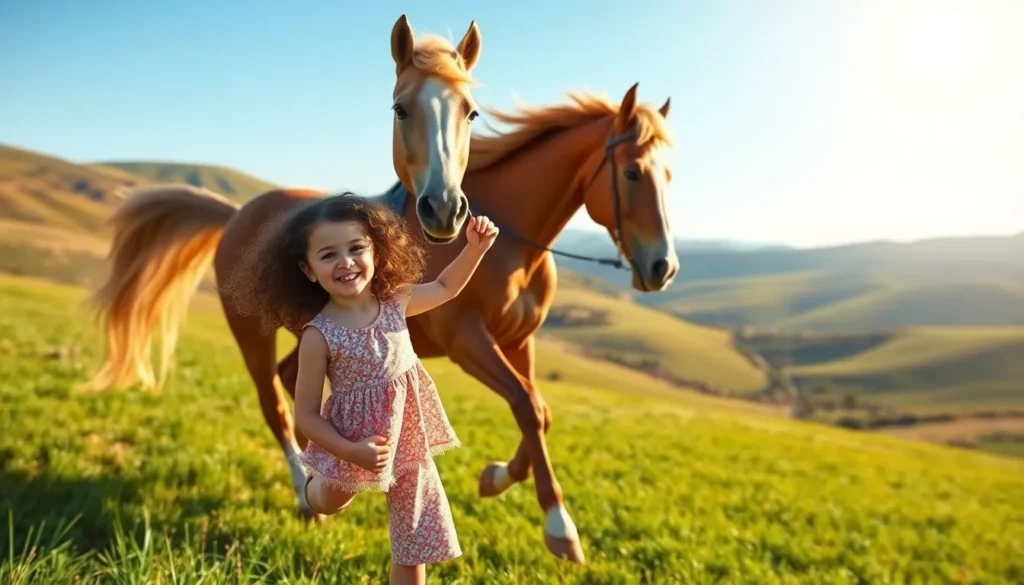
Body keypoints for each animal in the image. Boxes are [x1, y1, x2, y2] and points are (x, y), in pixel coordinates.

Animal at [83, 13, 484, 517]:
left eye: (471, 113)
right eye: (400, 109)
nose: (445, 209)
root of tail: (236, 213)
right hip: (250, 332)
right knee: (274, 403)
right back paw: (306, 495)